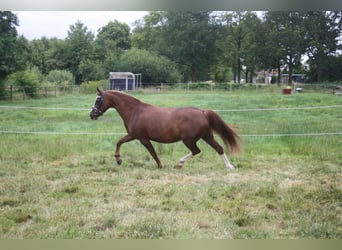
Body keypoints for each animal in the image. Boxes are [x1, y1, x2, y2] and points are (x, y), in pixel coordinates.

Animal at [89, 88, 239, 170]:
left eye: (98, 100)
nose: (91, 114)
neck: (135, 111)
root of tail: (202, 112)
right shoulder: (133, 135)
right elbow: (119, 142)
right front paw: (118, 160)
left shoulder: (142, 138)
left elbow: (153, 153)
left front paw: (160, 165)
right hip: (207, 136)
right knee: (219, 148)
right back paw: (229, 166)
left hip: (189, 140)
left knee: (197, 151)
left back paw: (180, 162)